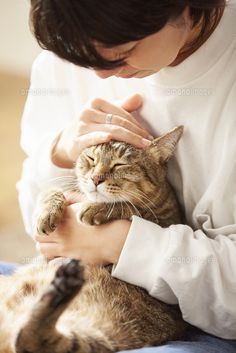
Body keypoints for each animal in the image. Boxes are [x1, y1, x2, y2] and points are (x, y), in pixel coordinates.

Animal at [0, 125, 190, 350]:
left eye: (120, 164)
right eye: (91, 158)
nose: (96, 178)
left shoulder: (167, 220)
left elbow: (131, 208)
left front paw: (97, 208)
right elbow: (51, 190)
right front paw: (47, 212)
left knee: (31, 341)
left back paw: (63, 286)